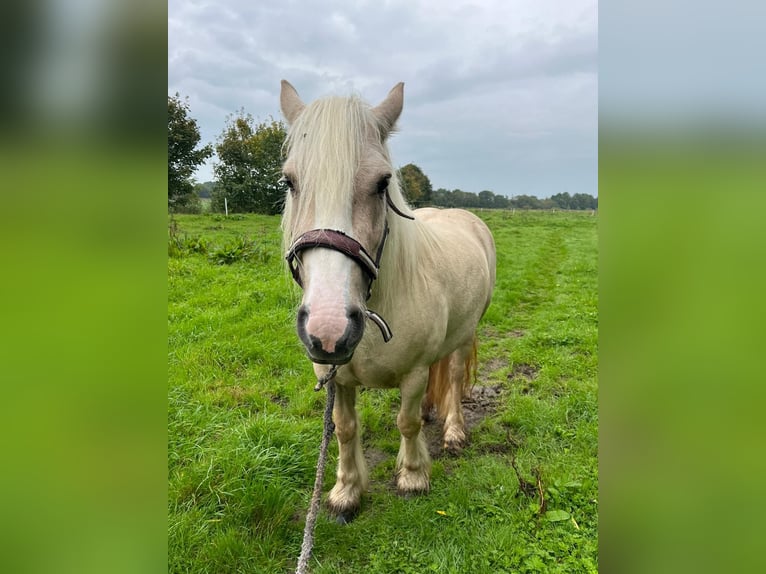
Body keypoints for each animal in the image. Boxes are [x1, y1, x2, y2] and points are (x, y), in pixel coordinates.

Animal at [282, 79, 498, 524]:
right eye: (289, 181)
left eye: (382, 183)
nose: (328, 328)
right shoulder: (336, 379)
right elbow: (345, 429)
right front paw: (346, 491)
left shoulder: (413, 374)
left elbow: (407, 421)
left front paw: (413, 476)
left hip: (466, 333)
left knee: (452, 376)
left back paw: (453, 431)